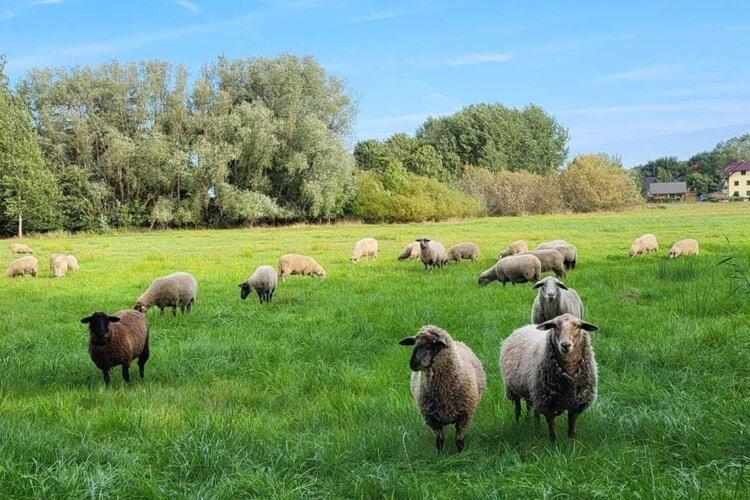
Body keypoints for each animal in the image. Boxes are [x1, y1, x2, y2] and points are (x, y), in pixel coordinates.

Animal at [400, 324, 488, 454]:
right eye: (415, 344)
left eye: (433, 344)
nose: (413, 363)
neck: (444, 389)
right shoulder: (432, 419)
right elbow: (440, 440)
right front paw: (440, 455)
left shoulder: (464, 416)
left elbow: (459, 439)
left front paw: (461, 454)